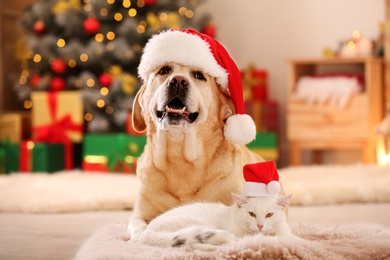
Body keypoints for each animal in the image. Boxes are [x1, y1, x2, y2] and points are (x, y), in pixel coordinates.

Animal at [129, 29, 264, 238]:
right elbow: (139, 229)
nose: (178, 81)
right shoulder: (139, 214)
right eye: (164, 71)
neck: (179, 156)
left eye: (199, 75)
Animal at [132, 194, 292, 251]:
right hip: (196, 223)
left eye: (269, 215)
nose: (260, 225)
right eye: (251, 214)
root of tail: (146, 232)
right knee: (191, 244)